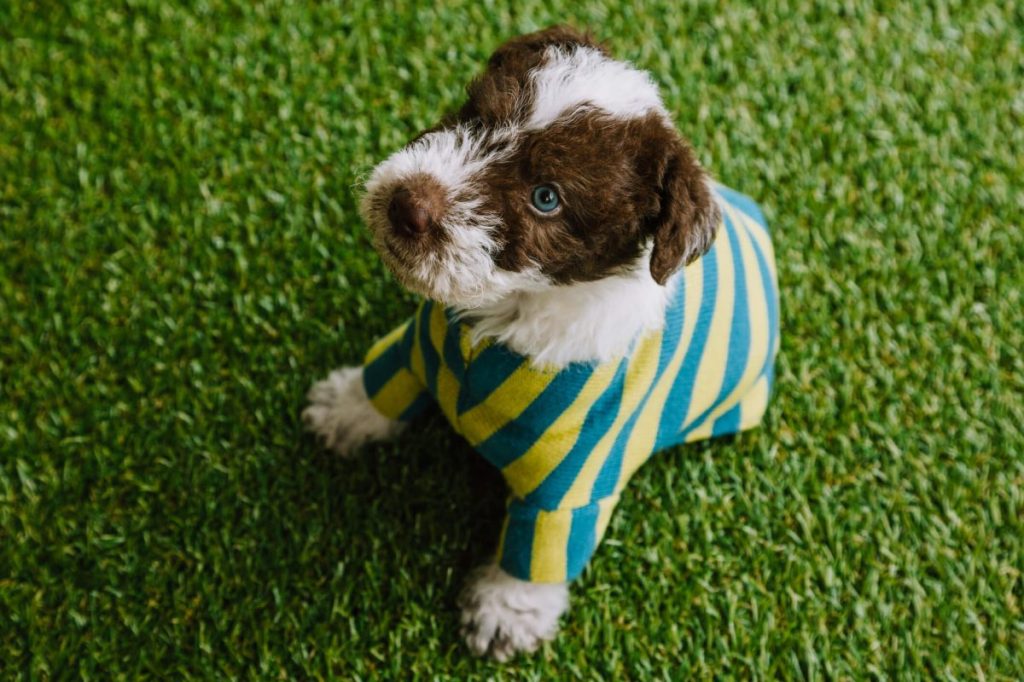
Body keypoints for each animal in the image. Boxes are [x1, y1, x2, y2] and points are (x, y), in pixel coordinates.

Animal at [299, 26, 778, 659]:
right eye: (475, 114)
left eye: (546, 198)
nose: (407, 206)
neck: (508, 314)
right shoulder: (415, 351)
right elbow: (383, 384)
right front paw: (345, 409)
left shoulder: (571, 484)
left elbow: (540, 553)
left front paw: (508, 610)